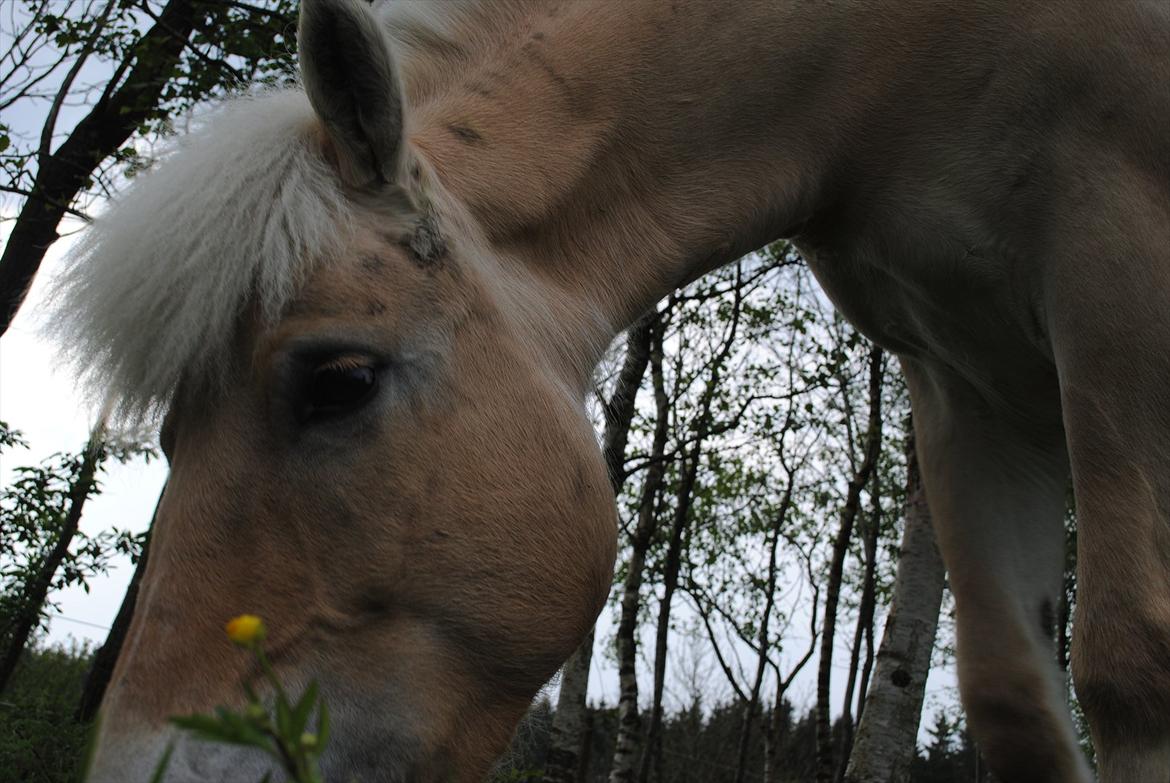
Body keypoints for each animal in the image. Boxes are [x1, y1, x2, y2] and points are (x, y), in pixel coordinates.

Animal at [59, 0, 1170, 777]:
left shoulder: (1119, 286)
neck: (903, 55)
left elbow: (1130, 664)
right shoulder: (964, 377)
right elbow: (1019, 705)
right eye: (169, 438)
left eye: (339, 381)